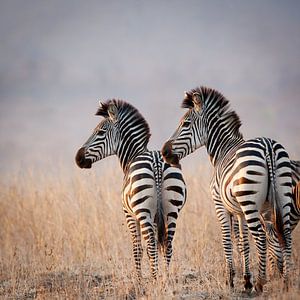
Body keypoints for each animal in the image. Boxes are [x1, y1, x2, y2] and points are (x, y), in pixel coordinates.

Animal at [75, 99, 186, 278]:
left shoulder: (129, 214)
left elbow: (137, 249)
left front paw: (139, 280)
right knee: (167, 245)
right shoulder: (155, 216)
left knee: (151, 246)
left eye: (100, 132)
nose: (78, 158)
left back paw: (154, 280)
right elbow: (152, 247)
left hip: (142, 211)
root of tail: (156, 162)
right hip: (172, 210)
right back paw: (165, 279)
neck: (133, 155)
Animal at [162, 85, 292, 292]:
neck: (223, 150)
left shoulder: (220, 205)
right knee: (284, 234)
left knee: (261, 237)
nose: (164, 152)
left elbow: (227, 240)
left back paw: (261, 283)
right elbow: (243, 242)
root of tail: (267, 147)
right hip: (281, 197)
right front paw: (246, 280)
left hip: (250, 202)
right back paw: (286, 282)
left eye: (186, 124)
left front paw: (231, 279)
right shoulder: (239, 211)